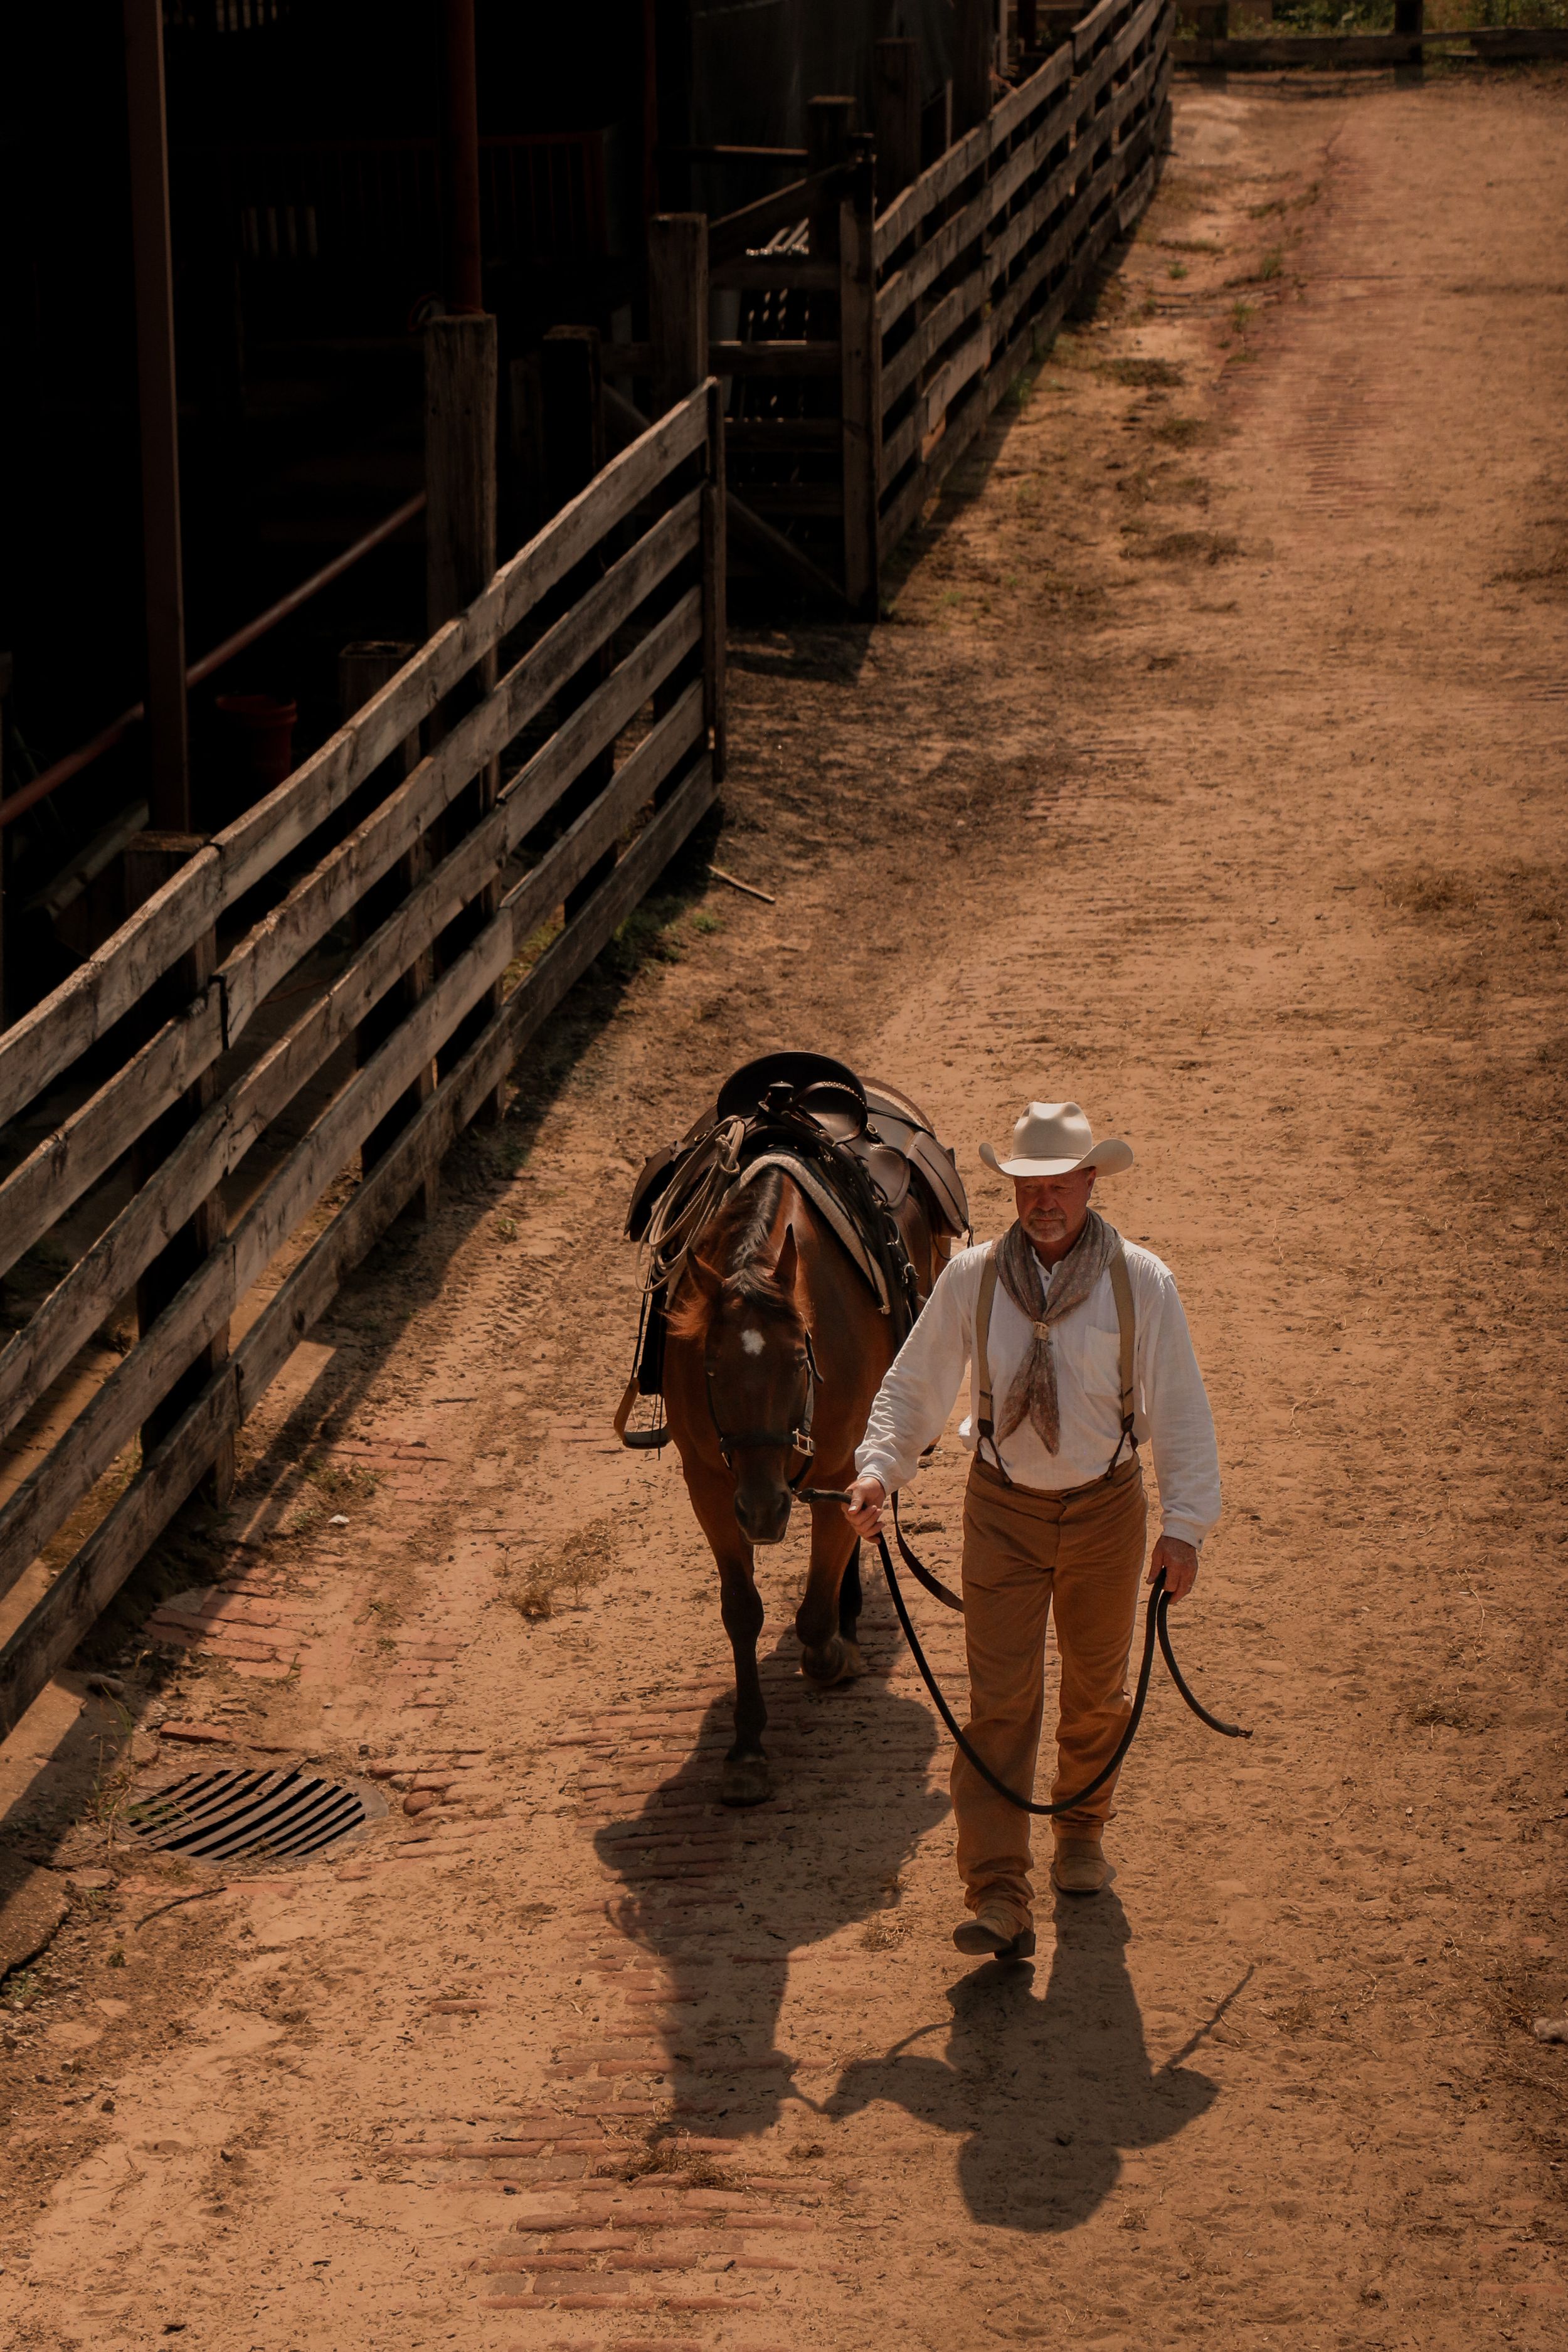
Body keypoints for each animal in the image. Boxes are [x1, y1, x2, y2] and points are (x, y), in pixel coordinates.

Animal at [662, 1159, 947, 1805]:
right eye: (711, 1368)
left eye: (797, 1361)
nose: (764, 1511)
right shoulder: (709, 1485)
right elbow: (742, 1612)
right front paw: (746, 1751)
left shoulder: (840, 1469)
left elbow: (815, 1621)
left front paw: (836, 1654)